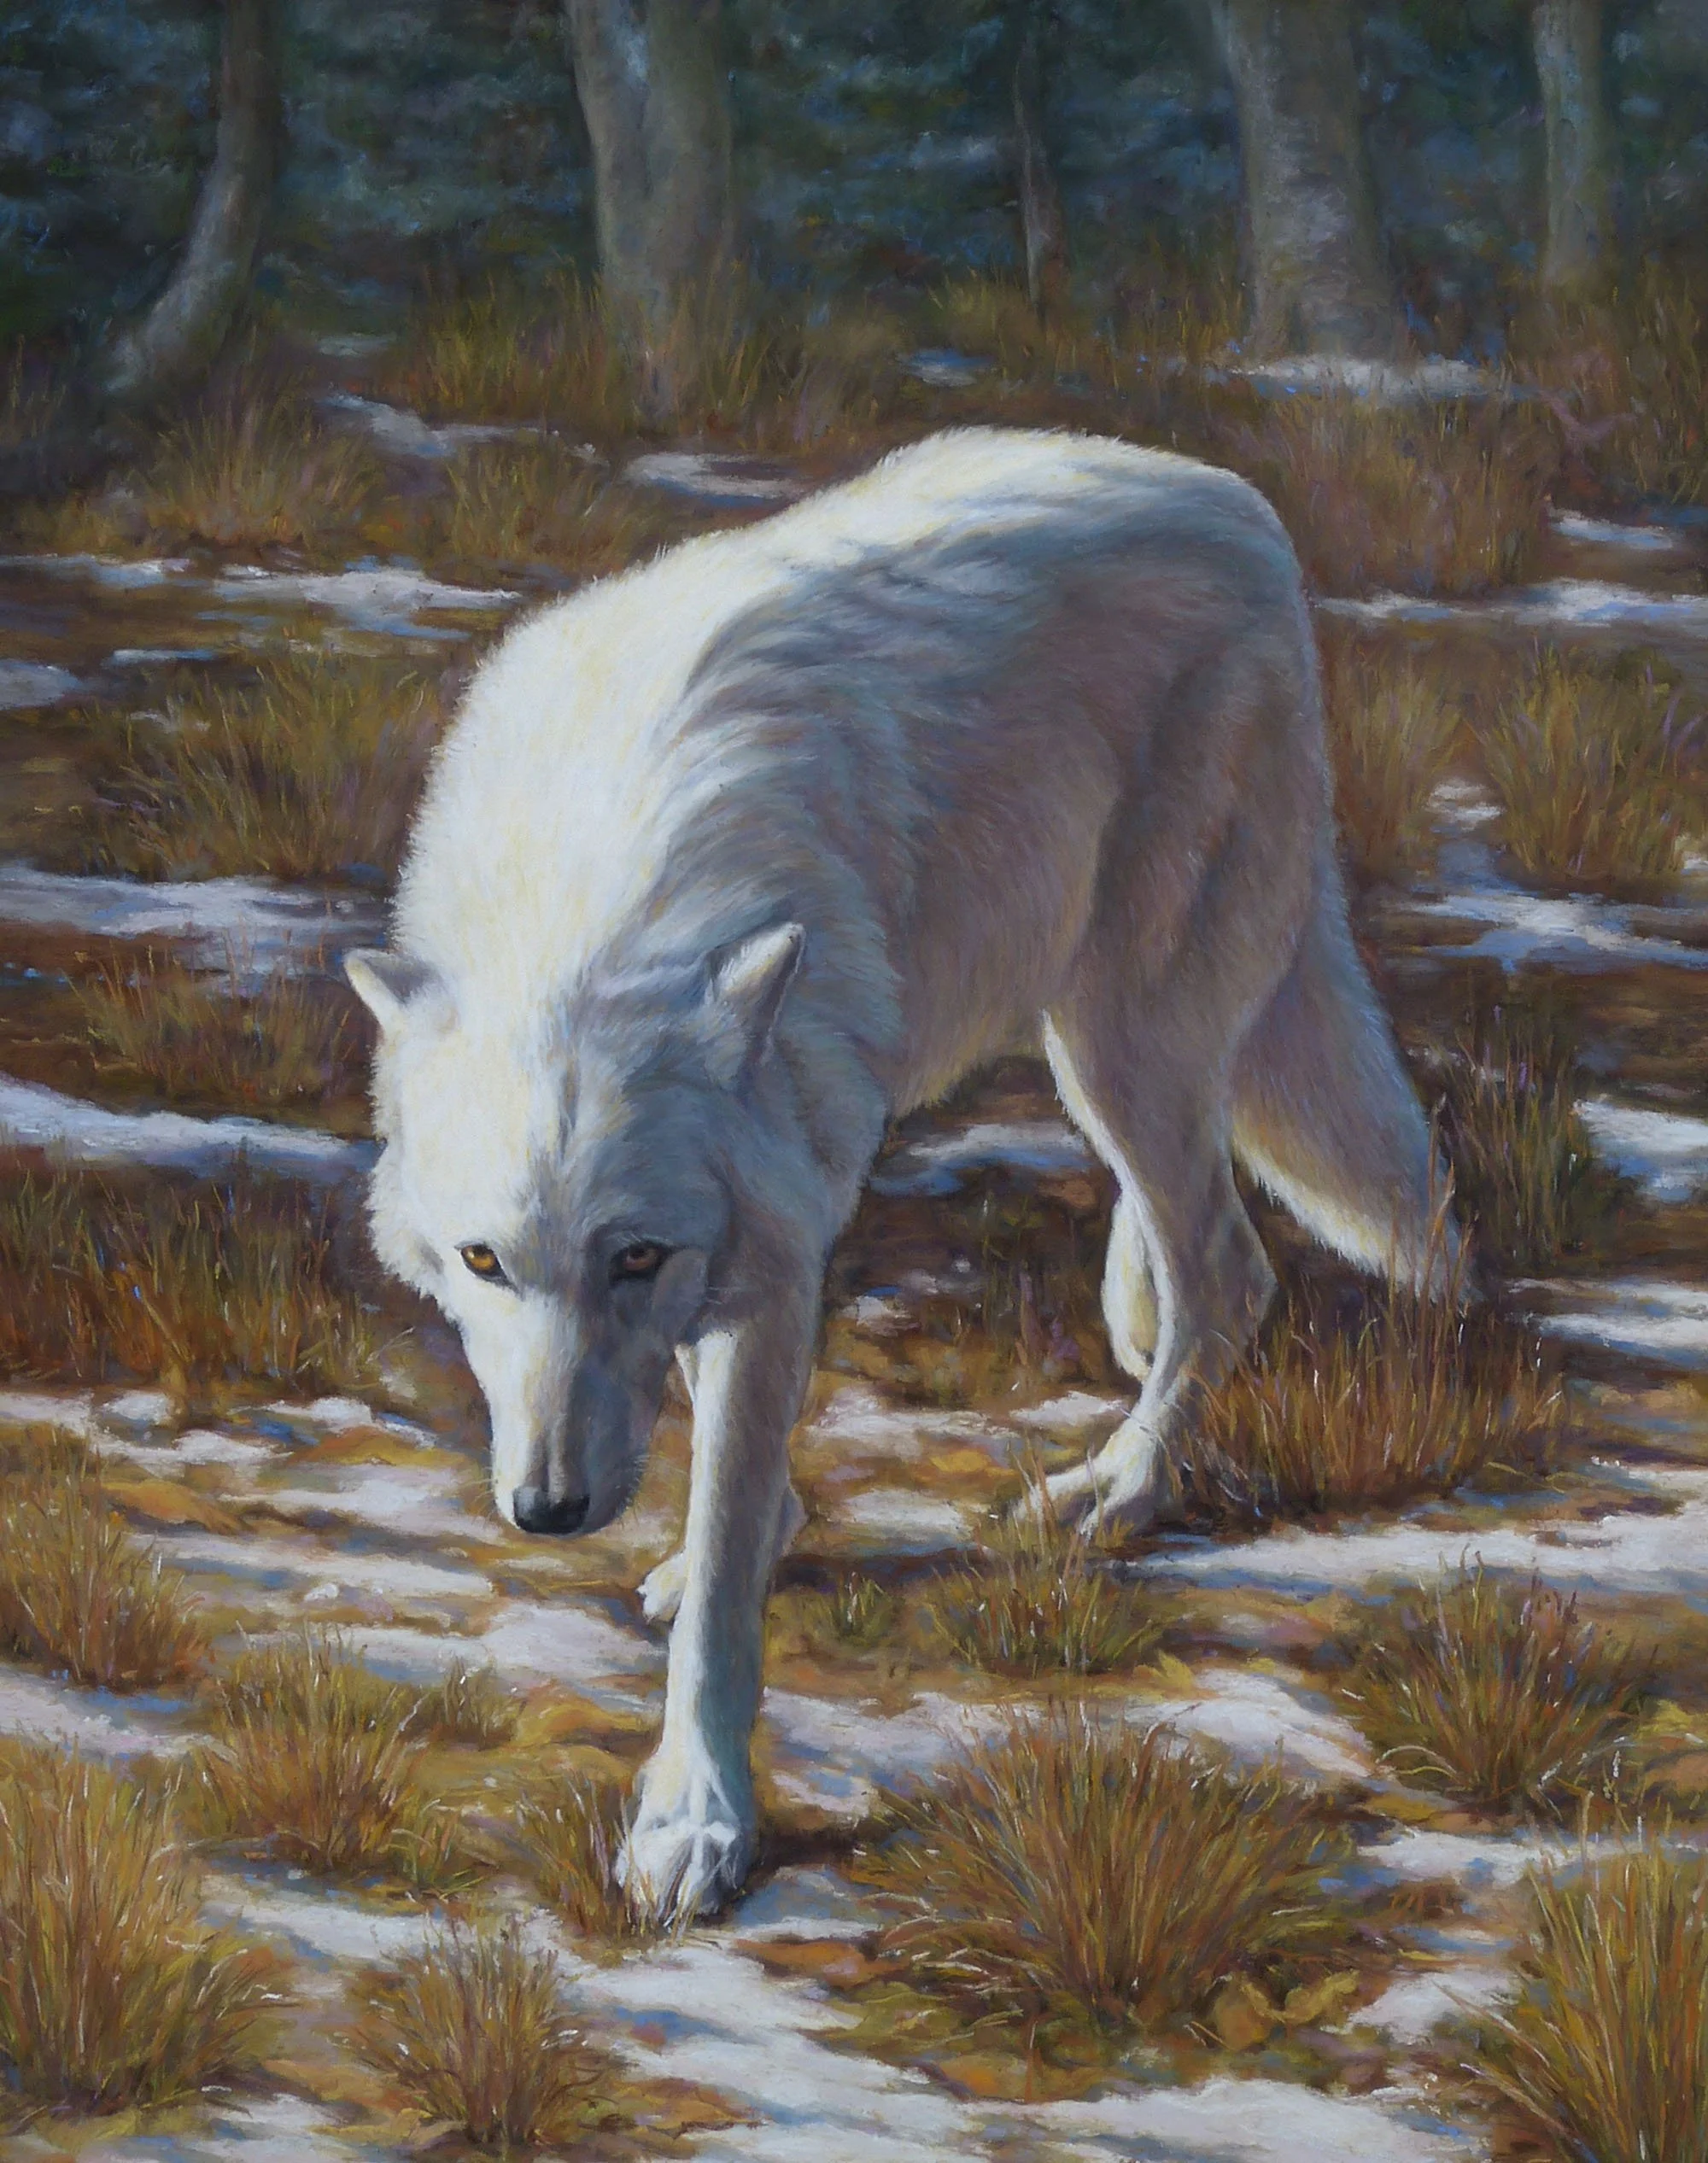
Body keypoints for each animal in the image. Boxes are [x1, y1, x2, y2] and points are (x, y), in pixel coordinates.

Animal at [346, 426, 1447, 1920]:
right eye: (482, 1262)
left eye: (636, 1256)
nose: (549, 1512)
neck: (594, 906)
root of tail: (1237, 503)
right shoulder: (754, 1226)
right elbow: (716, 1472)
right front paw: (728, 1544)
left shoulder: (772, 1256)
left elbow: (723, 1586)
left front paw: (695, 1820)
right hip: (1098, 1035)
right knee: (1189, 1232)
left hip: (1117, 1033)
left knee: (1229, 1265)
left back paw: (1120, 1487)